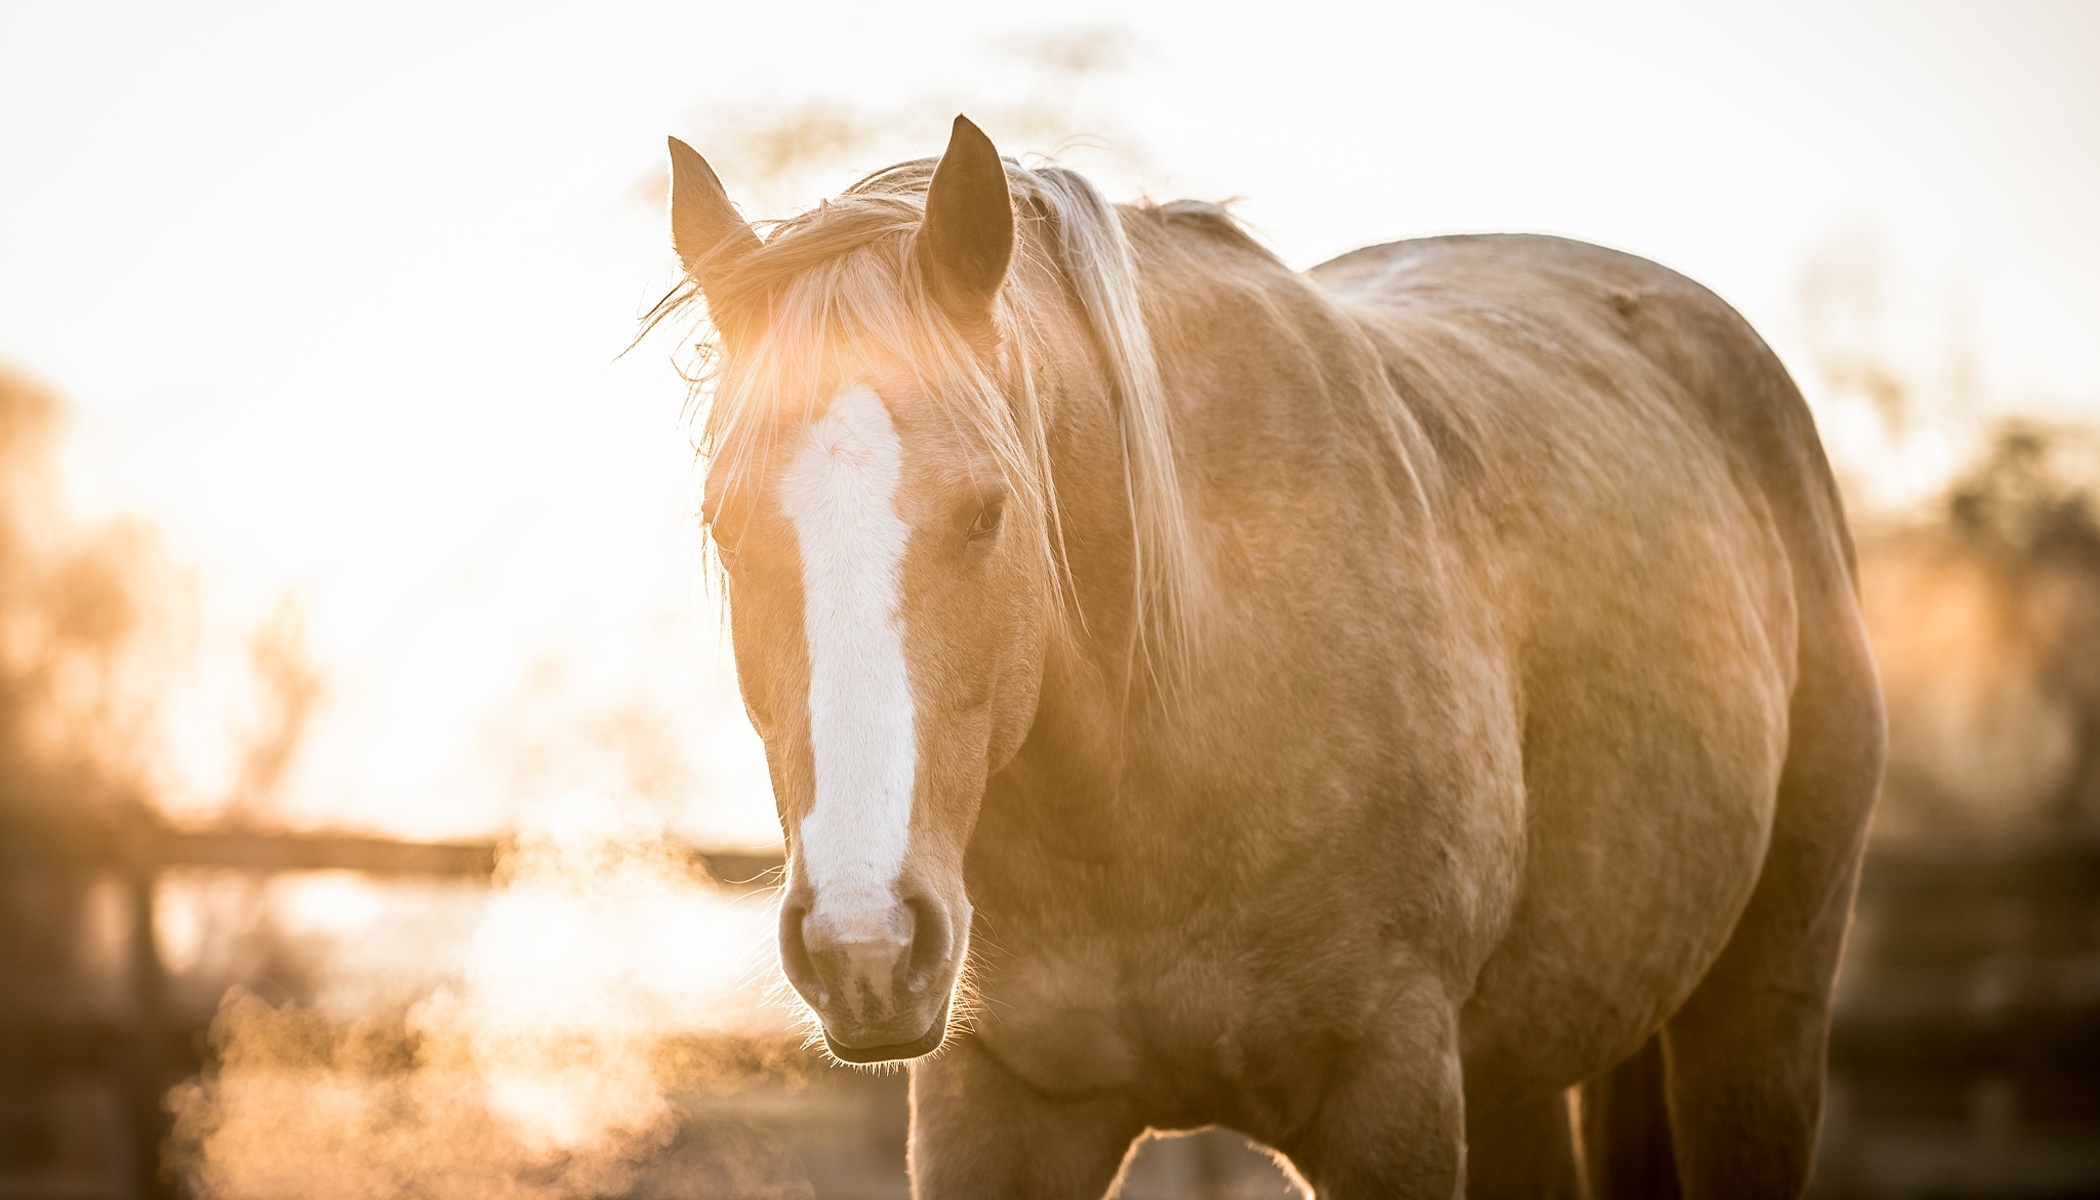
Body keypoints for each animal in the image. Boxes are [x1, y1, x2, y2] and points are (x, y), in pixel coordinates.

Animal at [655, 115, 1889, 1200]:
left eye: (987, 513)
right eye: (724, 524)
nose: (864, 946)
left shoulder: (1389, 1096)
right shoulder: (995, 1109)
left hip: (1758, 1014)